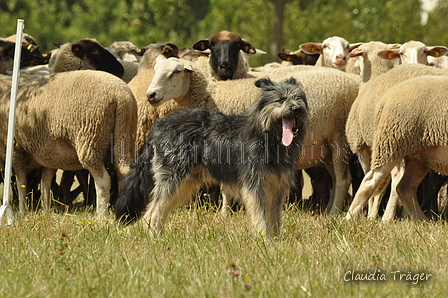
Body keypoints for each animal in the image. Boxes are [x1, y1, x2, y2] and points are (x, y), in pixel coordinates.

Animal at [0, 70, 136, 217]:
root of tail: (121, 96)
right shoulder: (49, 157)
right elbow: (45, 182)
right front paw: (45, 211)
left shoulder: (16, 150)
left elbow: (21, 183)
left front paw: (21, 211)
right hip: (125, 136)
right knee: (123, 171)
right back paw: (123, 212)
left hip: (91, 138)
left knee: (103, 179)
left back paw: (102, 215)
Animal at [116, 77, 308, 237]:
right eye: (281, 99)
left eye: (298, 98)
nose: (297, 109)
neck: (268, 137)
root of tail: (159, 125)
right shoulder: (255, 186)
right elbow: (261, 216)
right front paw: (265, 240)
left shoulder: (277, 187)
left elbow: (275, 218)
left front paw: (275, 240)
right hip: (173, 178)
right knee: (152, 212)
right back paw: (155, 237)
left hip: (185, 182)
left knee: (160, 209)